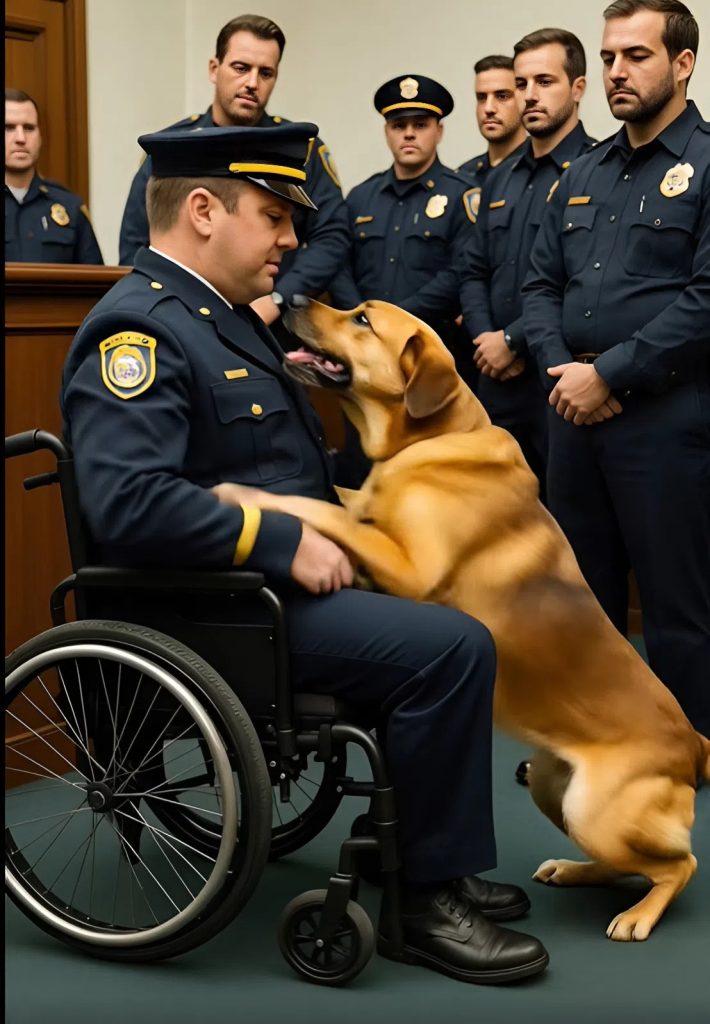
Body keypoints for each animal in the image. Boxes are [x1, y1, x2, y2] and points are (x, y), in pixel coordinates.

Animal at [215, 297, 710, 941]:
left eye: (362, 319)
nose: (289, 298)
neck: (430, 440)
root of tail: (695, 745)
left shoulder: (411, 568)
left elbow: (324, 509)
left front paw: (245, 494)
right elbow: (344, 499)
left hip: (594, 811)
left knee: (678, 865)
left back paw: (637, 916)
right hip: (553, 789)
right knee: (631, 864)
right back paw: (573, 871)